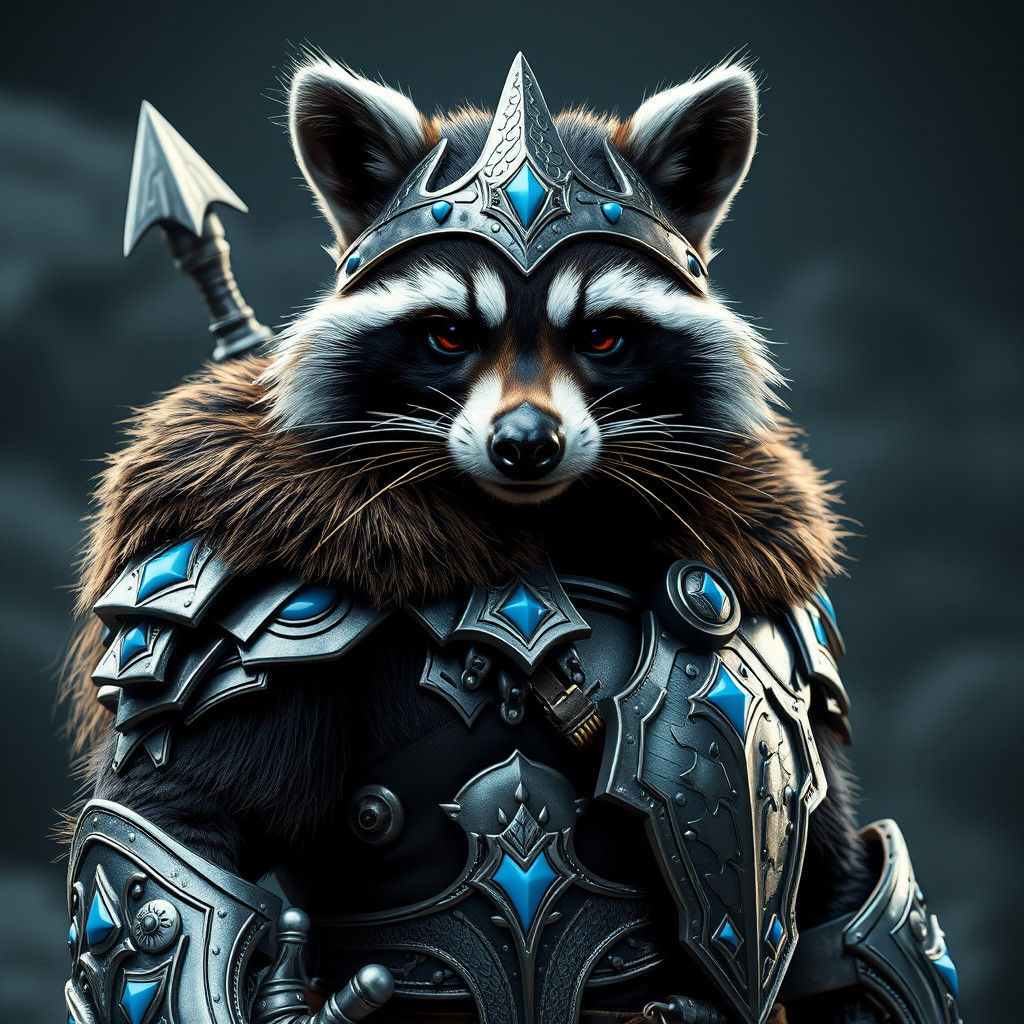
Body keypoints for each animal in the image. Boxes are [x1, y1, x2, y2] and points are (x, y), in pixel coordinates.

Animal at [62, 54, 959, 1024]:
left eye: (602, 335)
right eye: (448, 333)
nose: (526, 443)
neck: (548, 528)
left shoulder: (774, 615)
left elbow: (848, 908)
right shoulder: (247, 588)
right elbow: (166, 851)